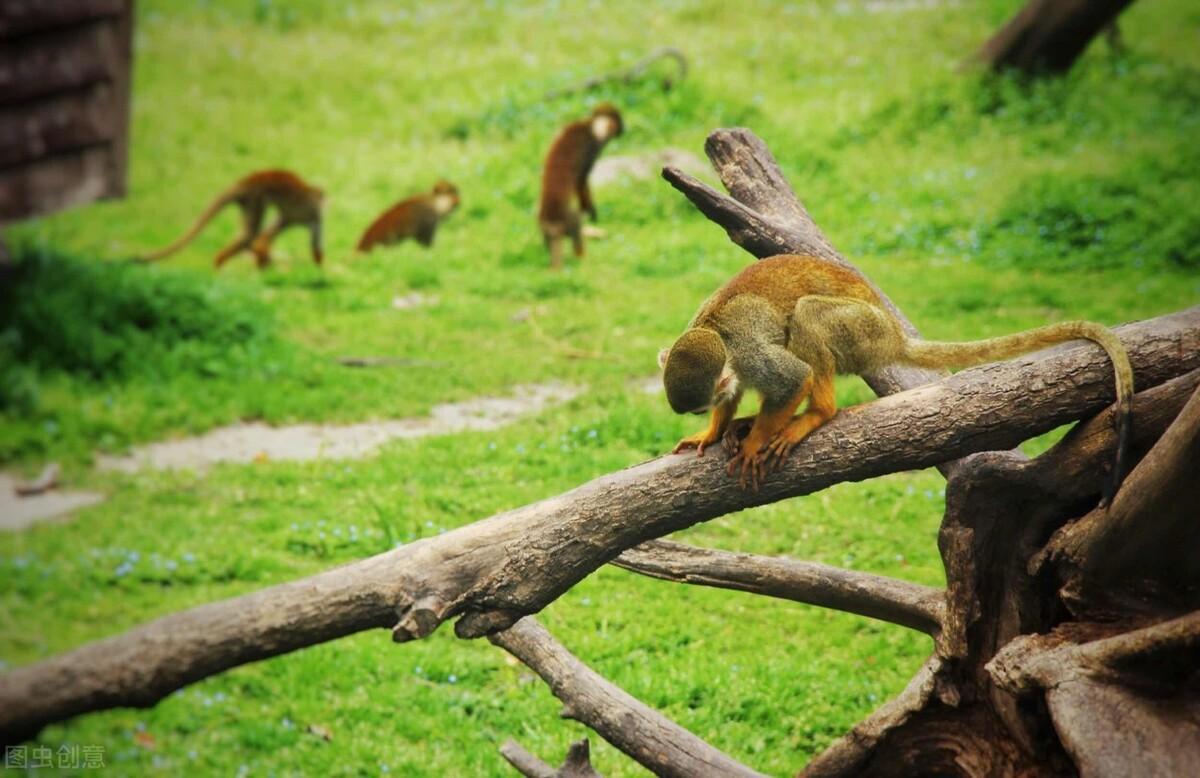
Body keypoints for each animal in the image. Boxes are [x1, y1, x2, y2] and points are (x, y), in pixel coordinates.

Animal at [138, 168, 326, 268]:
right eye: (322, 201)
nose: (325, 205)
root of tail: (245, 181)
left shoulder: (307, 216)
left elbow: (277, 228)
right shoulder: (314, 214)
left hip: (248, 202)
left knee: (253, 235)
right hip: (255, 198)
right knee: (249, 235)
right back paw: (220, 263)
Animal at [540, 102, 624, 268]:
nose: (622, 131)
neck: (589, 127)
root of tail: (552, 222)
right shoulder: (590, 146)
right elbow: (581, 180)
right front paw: (591, 212)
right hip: (567, 220)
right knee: (576, 219)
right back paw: (582, 256)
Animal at [657, 255, 1132, 499]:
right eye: (697, 411)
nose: (702, 416)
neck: (715, 333)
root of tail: (892, 334)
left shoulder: (749, 354)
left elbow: (793, 377)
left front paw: (755, 443)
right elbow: (733, 393)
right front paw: (715, 430)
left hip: (862, 332)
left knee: (809, 315)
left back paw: (816, 414)